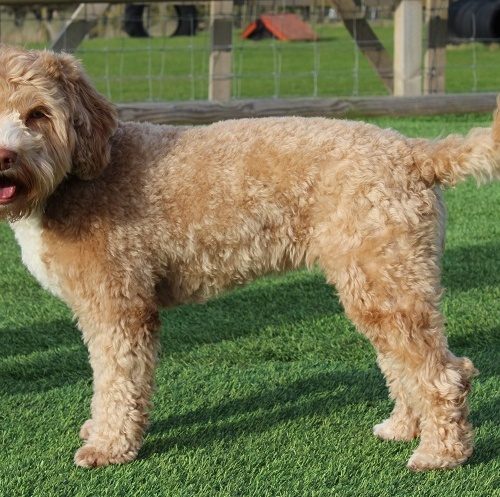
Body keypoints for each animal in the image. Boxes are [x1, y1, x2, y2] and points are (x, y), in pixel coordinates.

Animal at [1, 45, 498, 468]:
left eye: (38, 114)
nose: (6, 156)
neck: (74, 178)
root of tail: (415, 152)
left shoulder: (118, 305)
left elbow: (117, 380)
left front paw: (108, 446)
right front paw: (98, 432)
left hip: (385, 275)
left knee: (446, 372)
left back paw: (441, 453)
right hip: (379, 279)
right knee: (400, 360)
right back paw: (403, 427)